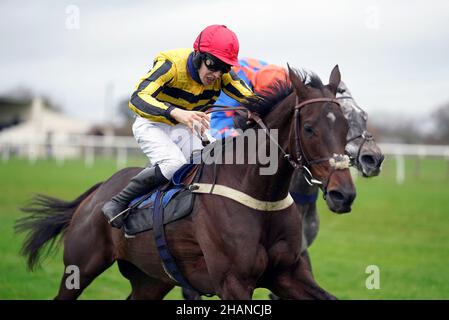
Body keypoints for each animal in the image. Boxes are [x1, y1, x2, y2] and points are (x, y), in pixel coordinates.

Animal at [15, 65, 356, 300]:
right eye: (309, 128)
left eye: (346, 125)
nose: (344, 194)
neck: (259, 195)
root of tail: (97, 192)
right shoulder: (232, 282)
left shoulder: (287, 273)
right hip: (80, 267)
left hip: (151, 278)